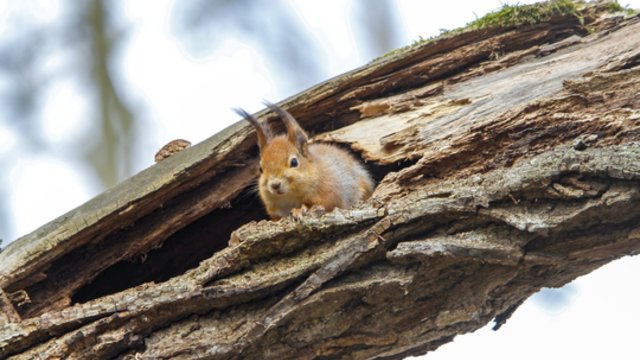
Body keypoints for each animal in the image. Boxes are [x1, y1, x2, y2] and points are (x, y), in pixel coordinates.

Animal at [235, 102, 376, 219]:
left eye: (294, 162)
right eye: (260, 169)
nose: (275, 185)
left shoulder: (331, 191)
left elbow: (328, 204)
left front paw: (299, 210)